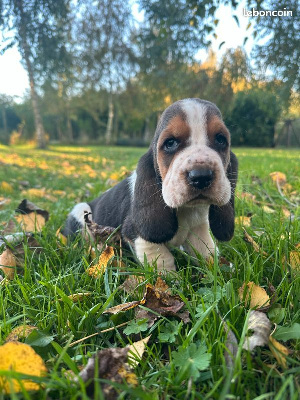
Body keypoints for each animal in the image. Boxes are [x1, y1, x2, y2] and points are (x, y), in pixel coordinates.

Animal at [64, 98, 238, 270]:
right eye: (170, 143)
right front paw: (168, 278)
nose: (201, 176)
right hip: (81, 213)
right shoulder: (137, 234)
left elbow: (206, 252)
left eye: (221, 139)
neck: (185, 210)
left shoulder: (199, 229)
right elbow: (162, 259)